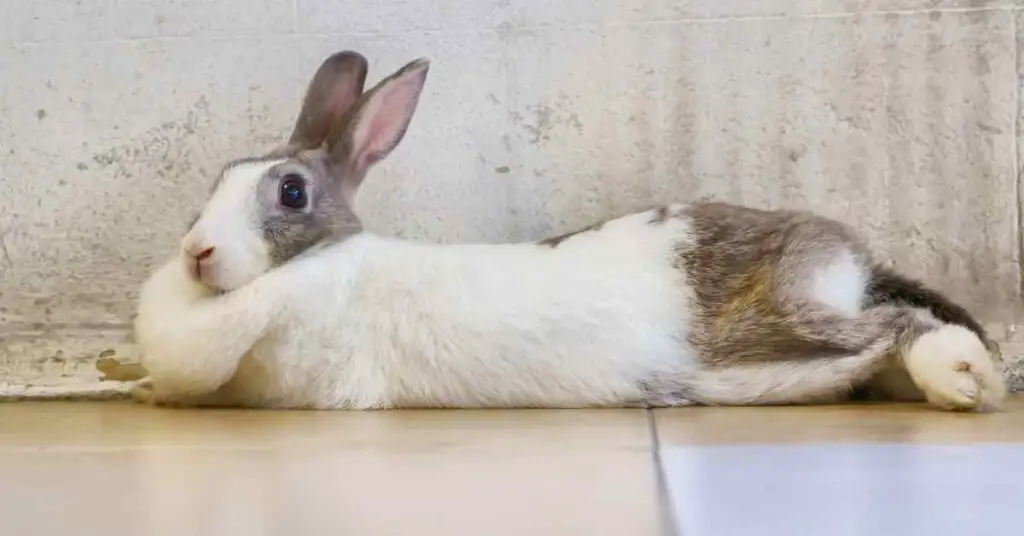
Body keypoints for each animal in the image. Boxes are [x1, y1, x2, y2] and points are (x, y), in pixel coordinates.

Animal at [130, 50, 1007, 412]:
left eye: (290, 192)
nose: (197, 253)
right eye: (216, 178)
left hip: (772, 319)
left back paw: (970, 379)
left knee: (898, 323)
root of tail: (846, 256)